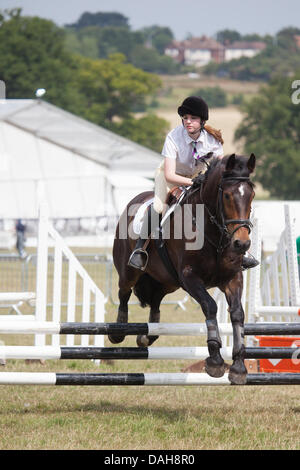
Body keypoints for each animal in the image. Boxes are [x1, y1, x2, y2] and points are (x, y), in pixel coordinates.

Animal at [109, 154, 256, 386]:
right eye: (227, 196)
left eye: (251, 195)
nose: (241, 244)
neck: (212, 232)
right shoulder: (189, 277)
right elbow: (210, 306)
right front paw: (215, 361)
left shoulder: (232, 277)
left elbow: (237, 313)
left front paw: (239, 368)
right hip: (129, 271)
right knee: (124, 292)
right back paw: (119, 331)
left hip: (167, 282)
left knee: (156, 301)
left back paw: (147, 336)